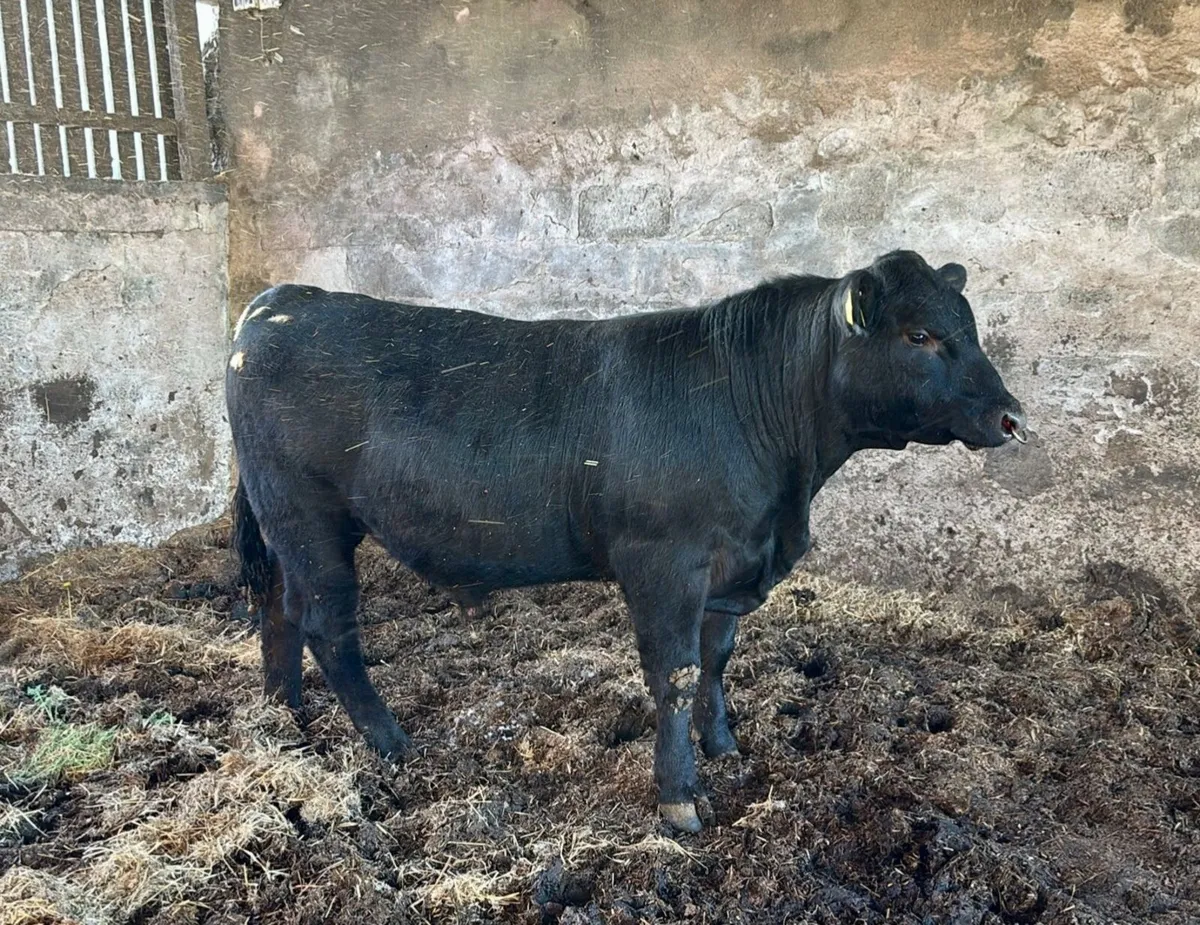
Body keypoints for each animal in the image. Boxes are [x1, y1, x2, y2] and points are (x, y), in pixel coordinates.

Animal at [227, 250, 1026, 833]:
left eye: (970, 327)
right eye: (919, 335)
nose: (1012, 416)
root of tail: (279, 300)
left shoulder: (730, 568)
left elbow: (715, 659)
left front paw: (724, 746)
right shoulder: (665, 563)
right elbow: (673, 672)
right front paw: (679, 800)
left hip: (283, 522)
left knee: (279, 609)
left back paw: (285, 716)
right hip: (308, 516)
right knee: (327, 623)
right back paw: (390, 743)